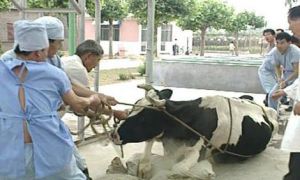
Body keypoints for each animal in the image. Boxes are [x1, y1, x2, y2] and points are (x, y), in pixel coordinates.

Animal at [110, 87, 278, 179]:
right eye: (132, 108)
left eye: (144, 117)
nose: (113, 134)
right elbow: (145, 156)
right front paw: (144, 168)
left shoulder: (198, 148)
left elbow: (177, 168)